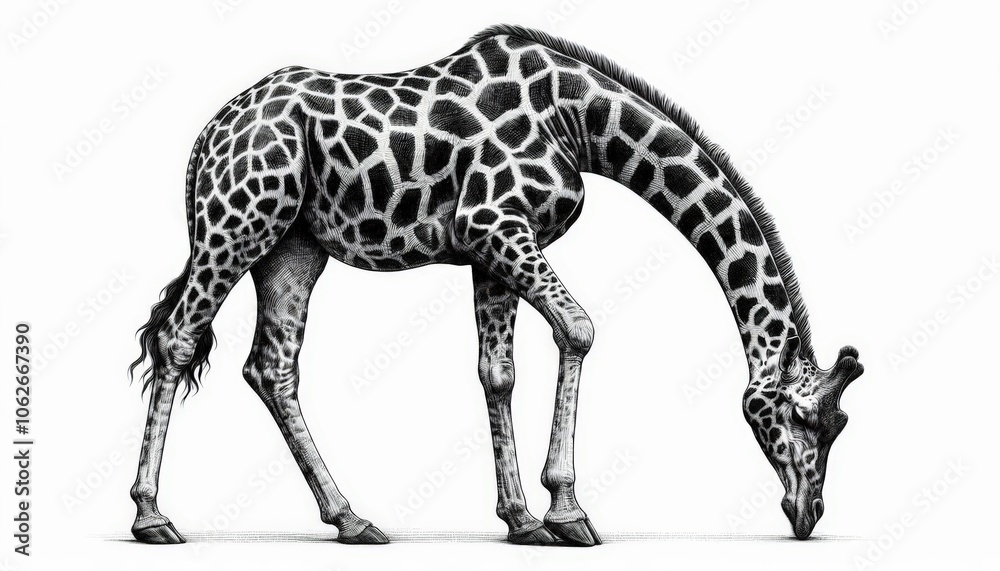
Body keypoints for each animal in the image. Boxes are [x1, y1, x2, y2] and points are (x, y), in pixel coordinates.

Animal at [128, 24, 863, 546]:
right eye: (802, 417)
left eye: (842, 424)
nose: (808, 513)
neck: (580, 122)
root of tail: (206, 137)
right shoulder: (495, 225)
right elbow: (579, 328)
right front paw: (567, 511)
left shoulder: (490, 250)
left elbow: (497, 372)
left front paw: (522, 518)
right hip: (239, 222)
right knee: (178, 337)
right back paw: (152, 517)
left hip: (292, 248)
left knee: (271, 366)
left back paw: (351, 518)